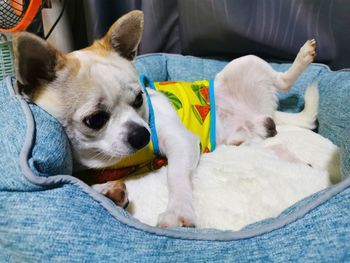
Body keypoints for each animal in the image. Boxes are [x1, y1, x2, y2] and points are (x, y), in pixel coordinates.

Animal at [13, 11, 318, 228]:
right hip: (243, 141)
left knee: (283, 80)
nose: (142, 134)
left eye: (139, 99)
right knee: (274, 145)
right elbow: (79, 181)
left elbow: (176, 176)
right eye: (95, 119)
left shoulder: (183, 142)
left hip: (246, 62)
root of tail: (265, 113)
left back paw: (303, 58)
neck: (106, 159)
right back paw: (298, 159)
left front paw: (178, 211)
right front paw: (106, 191)